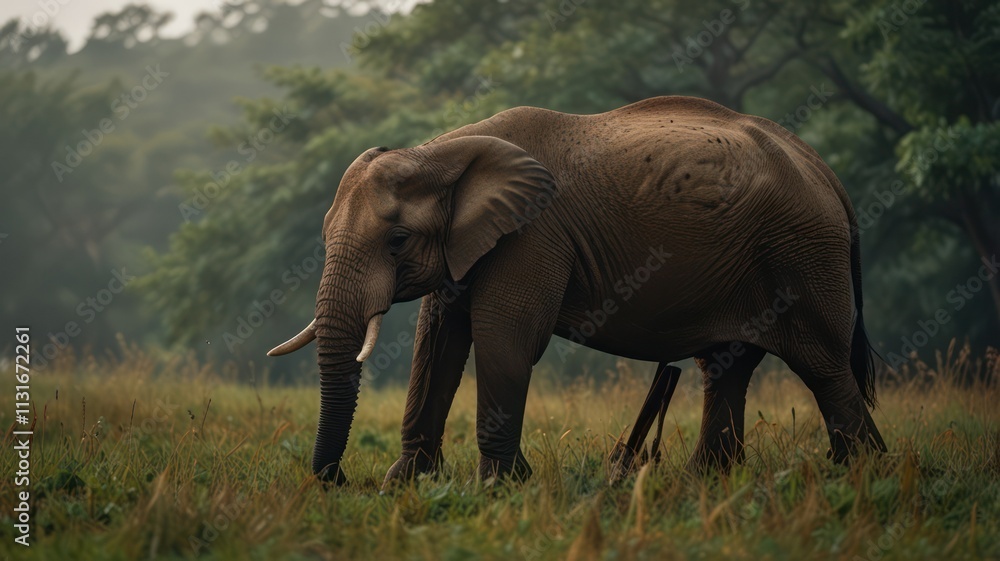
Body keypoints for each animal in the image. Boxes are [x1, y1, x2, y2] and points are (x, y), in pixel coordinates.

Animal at [267, 95, 887, 486]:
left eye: (397, 240)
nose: (338, 480)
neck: (441, 150)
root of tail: (826, 173)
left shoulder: (533, 233)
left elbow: (503, 339)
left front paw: (501, 489)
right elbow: (437, 342)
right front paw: (403, 487)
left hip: (803, 255)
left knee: (824, 367)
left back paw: (860, 476)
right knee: (727, 367)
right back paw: (705, 484)